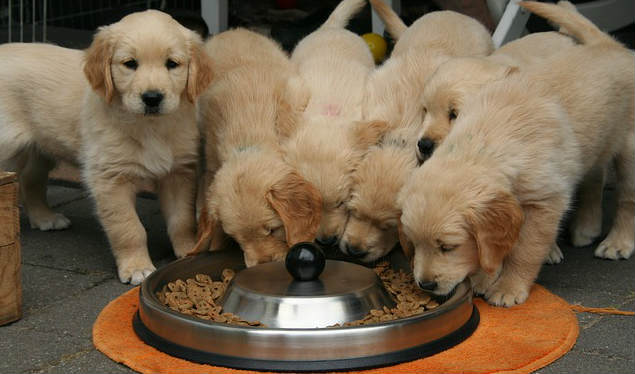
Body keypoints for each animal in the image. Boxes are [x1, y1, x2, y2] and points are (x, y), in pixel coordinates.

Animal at [0, 9, 214, 284]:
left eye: (172, 64)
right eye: (130, 63)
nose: (152, 98)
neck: (149, 127)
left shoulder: (178, 172)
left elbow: (182, 219)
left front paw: (188, 251)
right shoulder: (110, 179)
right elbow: (129, 228)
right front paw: (136, 267)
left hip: (40, 147)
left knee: (30, 179)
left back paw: (45, 217)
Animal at [400, 3, 632, 306]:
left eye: (448, 247)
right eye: (414, 243)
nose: (426, 284)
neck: (485, 142)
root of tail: (610, 45)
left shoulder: (546, 201)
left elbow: (524, 249)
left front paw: (508, 287)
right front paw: (485, 277)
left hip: (629, 148)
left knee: (628, 199)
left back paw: (618, 242)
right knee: (594, 175)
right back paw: (586, 227)